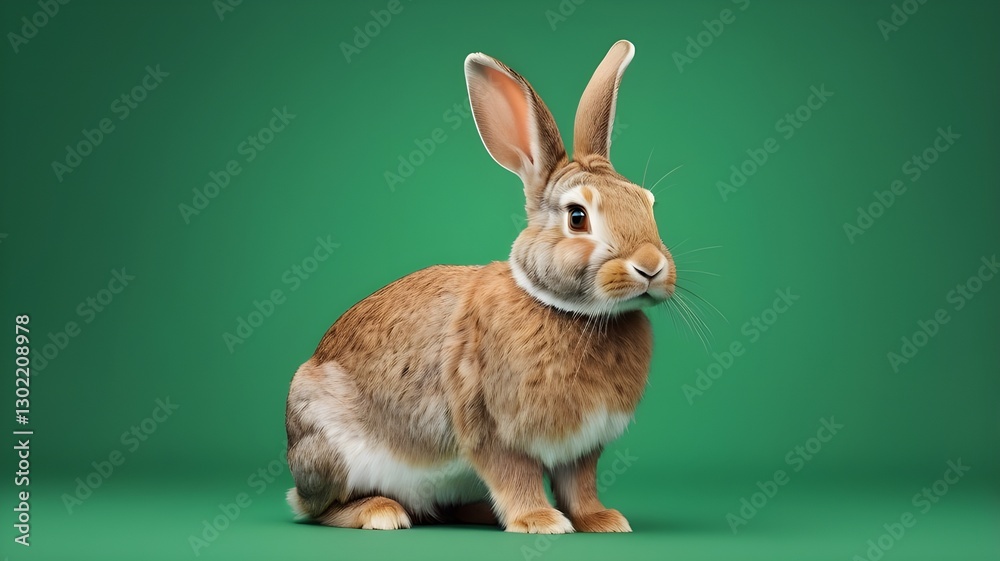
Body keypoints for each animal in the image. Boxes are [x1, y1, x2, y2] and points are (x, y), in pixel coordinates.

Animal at [285, 39, 675, 534]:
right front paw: (540, 521)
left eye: (649, 204)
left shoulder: (582, 448)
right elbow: (515, 476)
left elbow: (579, 486)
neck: (568, 310)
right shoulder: (493, 431)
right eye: (577, 217)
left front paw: (603, 520)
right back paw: (381, 513)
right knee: (320, 509)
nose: (651, 267)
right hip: (329, 451)